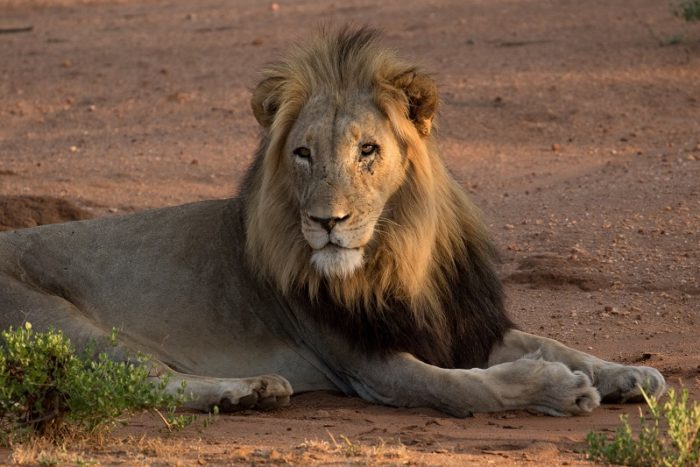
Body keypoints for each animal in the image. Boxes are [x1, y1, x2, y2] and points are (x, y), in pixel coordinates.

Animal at [0, 28, 664, 417]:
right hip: (66, 325)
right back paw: (243, 392)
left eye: (367, 150)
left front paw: (629, 374)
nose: (327, 221)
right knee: (146, 383)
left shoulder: (459, 323)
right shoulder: (366, 365)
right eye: (302, 154)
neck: (400, 258)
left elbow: (555, 341)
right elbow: (467, 387)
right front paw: (560, 388)